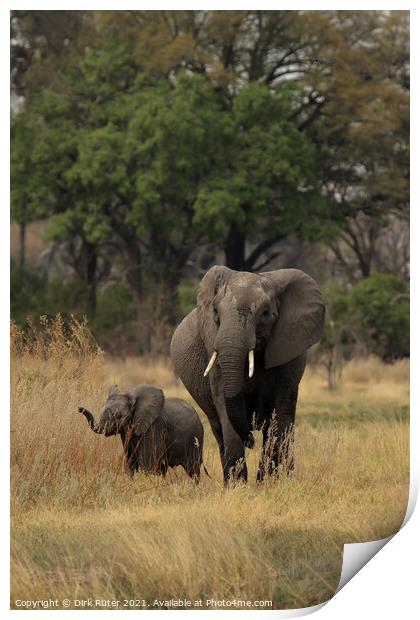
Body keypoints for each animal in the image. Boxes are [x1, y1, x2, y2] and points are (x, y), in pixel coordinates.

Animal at [171, 266, 324, 484]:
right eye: (215, 312)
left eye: (265, 313)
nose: (251, 439)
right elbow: (225, 405)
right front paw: (238, 486)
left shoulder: (288, 353)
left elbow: (281, 413)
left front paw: (272, 483)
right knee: (218, 428)